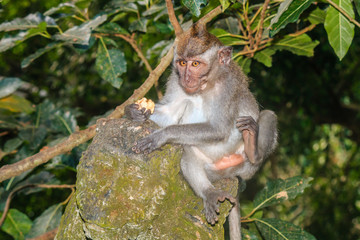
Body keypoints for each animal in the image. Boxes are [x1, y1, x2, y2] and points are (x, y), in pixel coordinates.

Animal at [125, 23, 280, 240]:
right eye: (182, 63)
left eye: (196, 64)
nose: (187, 77)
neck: (204, 86)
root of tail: (229, 171)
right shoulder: (175, 81)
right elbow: (170, 115)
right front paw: (133, 112)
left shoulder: (228, 87)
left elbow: (219, 128)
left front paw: (162, 135)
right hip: (212, 171)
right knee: (187, 149)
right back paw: (209, 192)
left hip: (246, 167)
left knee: (267, 116)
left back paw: (253, 148)